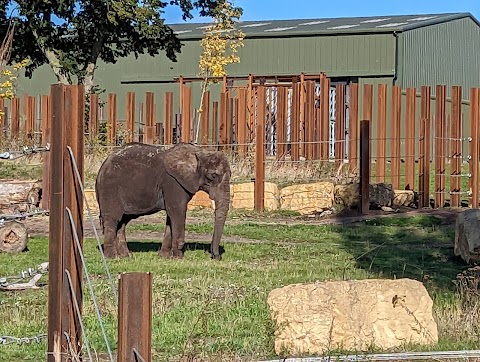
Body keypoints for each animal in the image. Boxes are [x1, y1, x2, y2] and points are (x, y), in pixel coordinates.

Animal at [94, 141, 232, 260]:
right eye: (213, 176)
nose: (215, 257)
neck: (200, 152)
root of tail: (102, 167)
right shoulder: (173, 182)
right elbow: (177, 212)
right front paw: (178, 258)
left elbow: (171, 216)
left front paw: (164, 257)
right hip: (110, 189)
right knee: (113, 219)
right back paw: (112, 257)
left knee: (122, 222)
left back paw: (126, 256)